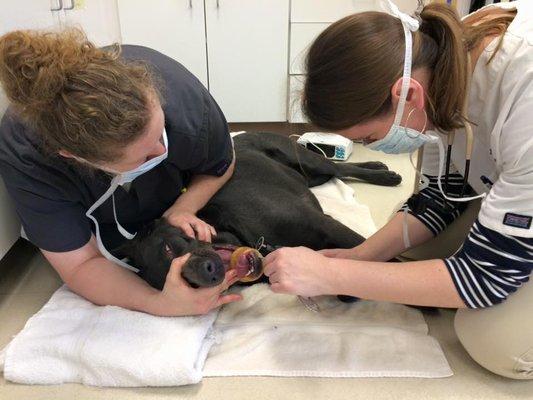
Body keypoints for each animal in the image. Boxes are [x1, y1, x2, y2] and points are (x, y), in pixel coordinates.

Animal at [121, 131, 400, 290]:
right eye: (189, 285)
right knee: (333, 173)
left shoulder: (325, 224)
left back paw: (383, 173)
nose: (207, 275)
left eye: (168, 249)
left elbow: (377, 257)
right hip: (308, 176)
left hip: (306, 159)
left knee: (340, 168)